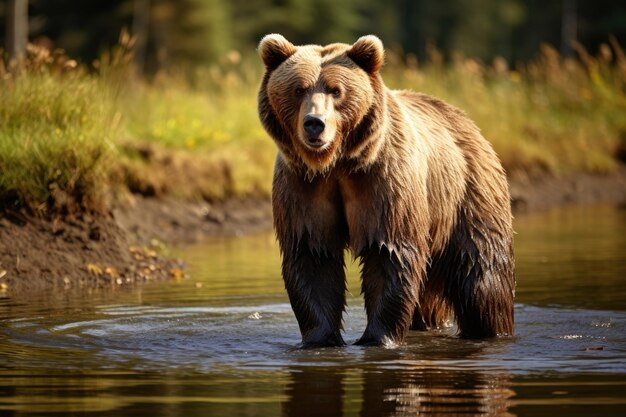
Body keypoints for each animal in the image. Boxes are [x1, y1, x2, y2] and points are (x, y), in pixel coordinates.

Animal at [256, 34, 516, 346]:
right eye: (298, 88)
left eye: (336, 90)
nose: (314, 124)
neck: (338, 162)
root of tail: (467, 122)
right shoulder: (304, 185)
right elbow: (313, 254)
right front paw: (321, 338)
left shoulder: (383, 179)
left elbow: (388, 251)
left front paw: (378, 338)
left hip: (469, 195)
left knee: (482, 276)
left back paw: (490, 329)